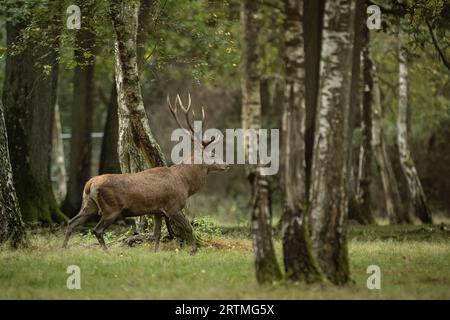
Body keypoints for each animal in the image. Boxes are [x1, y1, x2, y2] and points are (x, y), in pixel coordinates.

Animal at [62, 94, 229, 254]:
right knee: (96, 230)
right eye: (212, 154)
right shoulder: (173, 206)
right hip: (111, 209)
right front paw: (193, 251)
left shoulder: (157, 211)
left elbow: (157, 234)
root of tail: (90, 183)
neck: (185, 184)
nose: (227, 164)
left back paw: (63, 249)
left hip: (88, 204)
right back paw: (107, 253)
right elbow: (188, 227)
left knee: (72, 222)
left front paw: (155, 253)